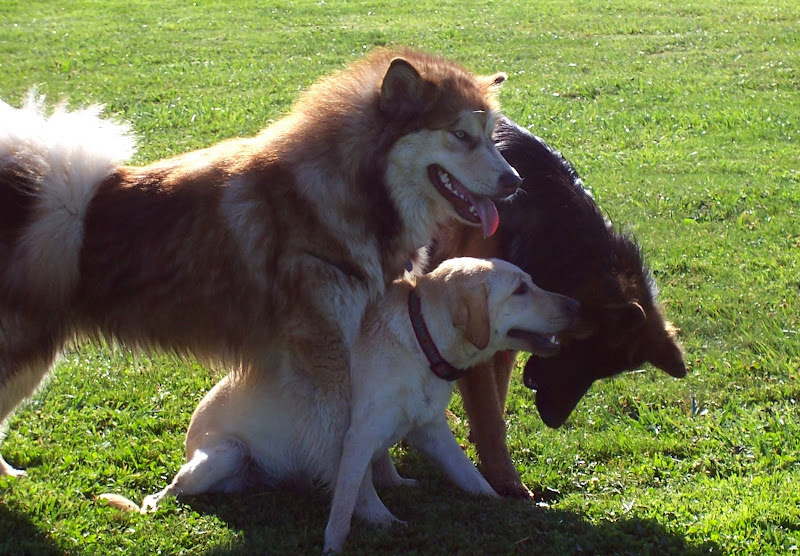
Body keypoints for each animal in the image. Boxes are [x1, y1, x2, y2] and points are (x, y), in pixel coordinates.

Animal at [0, 47, 520, 476]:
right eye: (460, 135)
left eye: (491, 136)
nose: (514, 181)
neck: (349, 193)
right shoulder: (324, 353)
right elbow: (342, 443)